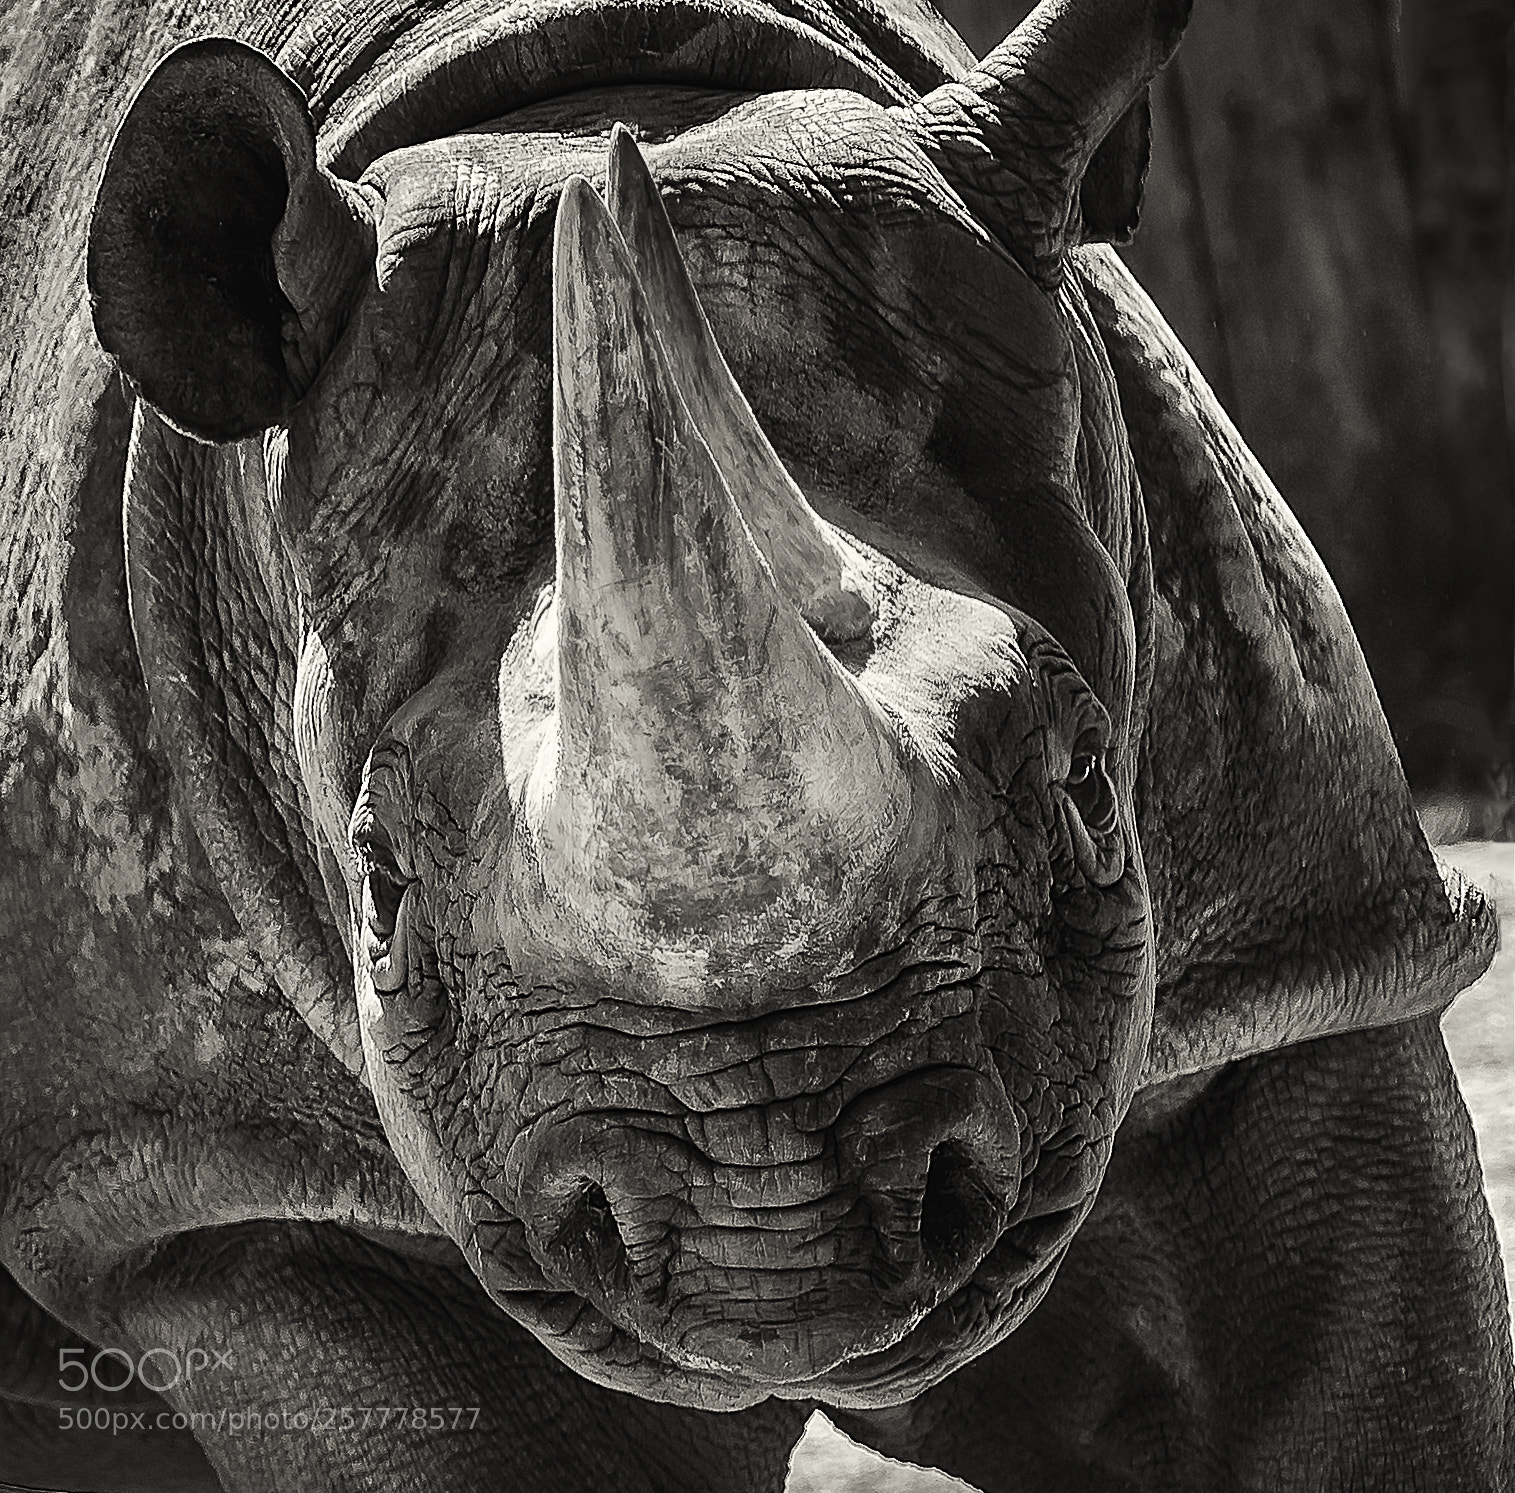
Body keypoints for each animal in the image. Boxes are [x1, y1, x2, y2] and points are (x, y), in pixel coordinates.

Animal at [1, 0, 1509, 1485]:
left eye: (1091, 787)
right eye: (375, 887)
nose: (780, 1230)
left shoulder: (1300, 959)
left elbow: (1370, 1389)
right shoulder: (224, 1178)